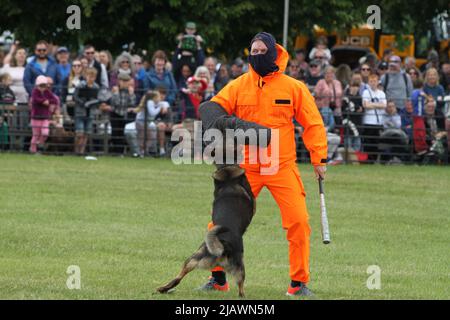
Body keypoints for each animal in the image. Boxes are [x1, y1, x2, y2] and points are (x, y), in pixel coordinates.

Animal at [157, 165, 256, 298]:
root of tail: (223, 245)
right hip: (235, 266)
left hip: (194, 260)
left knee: (177, 278)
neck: (228, 173)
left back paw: (163, 289)